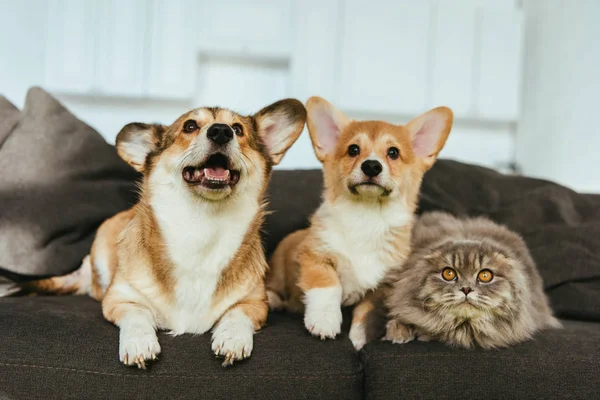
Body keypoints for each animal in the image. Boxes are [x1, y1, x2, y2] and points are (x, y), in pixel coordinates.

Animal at [22, 99, 308, 366]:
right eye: (190, 126)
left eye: (238, 129)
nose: (221, 131)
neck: (201, 225)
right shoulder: (120, 299)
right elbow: (138, 315)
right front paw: (139, 343)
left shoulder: (253, 304)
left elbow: (237, 314)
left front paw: (232, 338)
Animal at [264, 97, 452, 350]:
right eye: (353, 149)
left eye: (393, 153)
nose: (371, 165)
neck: (366, 217)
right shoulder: (315, 256)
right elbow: (328, 286)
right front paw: (324, 321)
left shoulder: (380, 287)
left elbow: (363, 315)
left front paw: (358, 341)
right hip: (280, 265)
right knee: (272, 286)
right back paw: (272, 299)